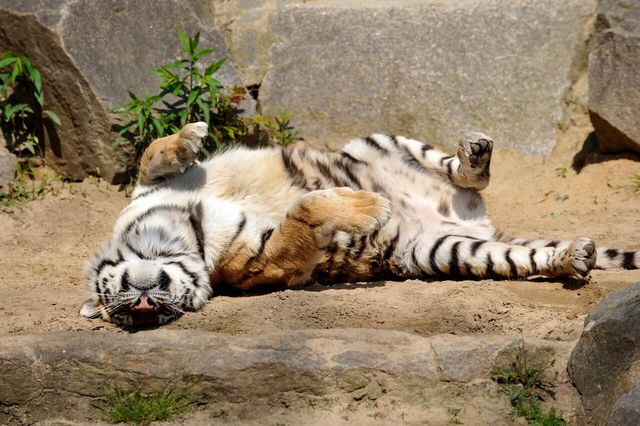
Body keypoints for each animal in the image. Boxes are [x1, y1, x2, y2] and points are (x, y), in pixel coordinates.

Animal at [81, 122, 640, 326]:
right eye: (130, 315)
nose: (147, 302)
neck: (178, 232)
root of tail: (481, 226)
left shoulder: (151, 189)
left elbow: (152, 154)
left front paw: (192, 134)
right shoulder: (271, 260)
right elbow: (303, 213)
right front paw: (373, 208)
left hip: (373, 142)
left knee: (467, 175)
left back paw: (474, 152)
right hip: (444, 252)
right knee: (521, 256)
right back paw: (574, 257)